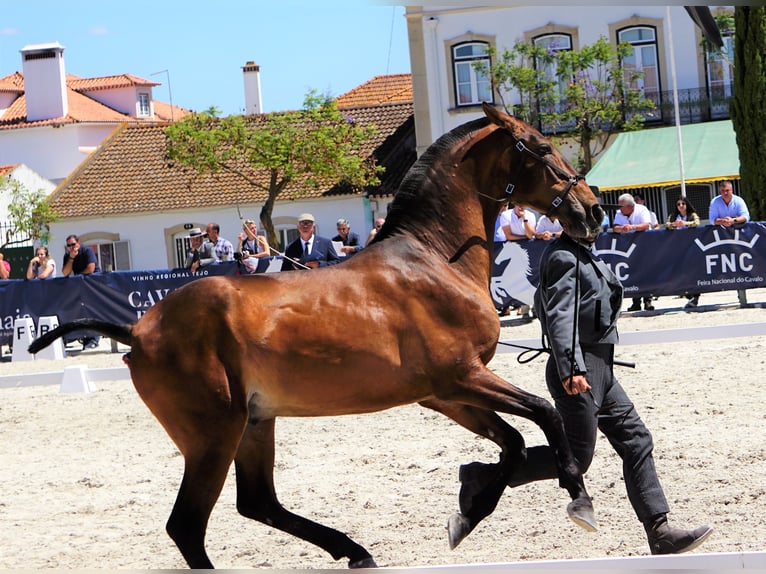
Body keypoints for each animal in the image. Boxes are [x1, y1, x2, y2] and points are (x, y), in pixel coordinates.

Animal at [28, 104, 608, 572]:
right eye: (540, 147)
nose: (594, 209)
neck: (434, 259)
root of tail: (138, 328)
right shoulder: (462, 376)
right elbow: (546, 414)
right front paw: (578, 500)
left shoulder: (443, 393)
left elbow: (512, 445)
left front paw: (465, 516)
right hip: (214, 434)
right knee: (189, 526)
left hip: (254, 422)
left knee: (256, 503)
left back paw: (355, 550)